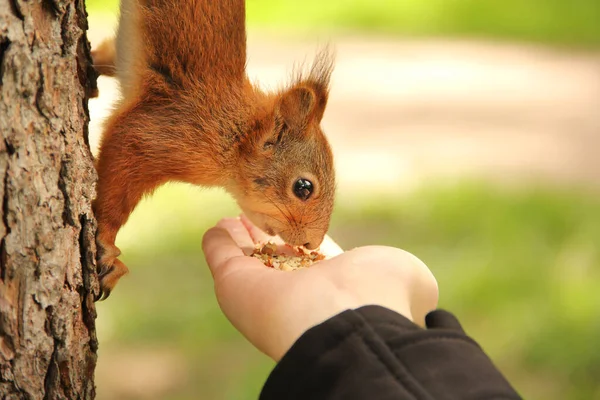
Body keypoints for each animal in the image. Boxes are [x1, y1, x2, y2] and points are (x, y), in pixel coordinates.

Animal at [92, 0, 340, 300]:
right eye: (303, 188)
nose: (313, 243)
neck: (235, 135)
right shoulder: (155, 134)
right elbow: (116, 180)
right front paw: (107, 246)